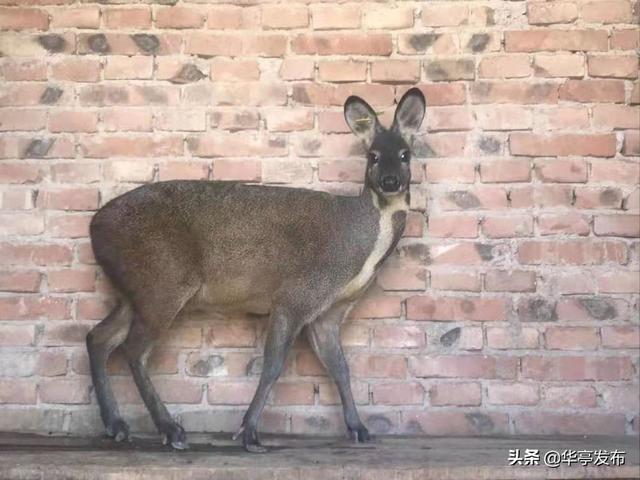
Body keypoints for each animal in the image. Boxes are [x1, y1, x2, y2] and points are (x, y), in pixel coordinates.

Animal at [85, 87, 424, 454]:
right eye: (372, 156)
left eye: (405, 154)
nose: (390, 181)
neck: (358, 251)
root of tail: (94, 227)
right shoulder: (294, 296)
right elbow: (272, 366)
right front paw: (248, 432)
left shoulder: (329, 311)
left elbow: (341, 368)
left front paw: (359, 428)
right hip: (163, 282)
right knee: (133, 349)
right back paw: (171, 430)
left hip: (136, 291)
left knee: (99, 338)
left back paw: (116, 425)